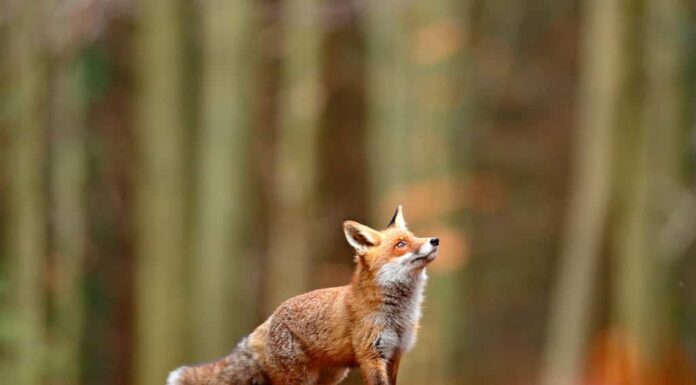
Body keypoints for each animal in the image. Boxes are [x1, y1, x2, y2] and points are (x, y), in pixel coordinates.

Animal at [169, 207, 438, 384]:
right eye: (400, 244)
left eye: (414, 237)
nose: (435, 240)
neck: (398, 314)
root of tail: (271, 317)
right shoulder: (371, 356)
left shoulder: (394, 355)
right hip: (298, 378)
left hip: (331, 377)